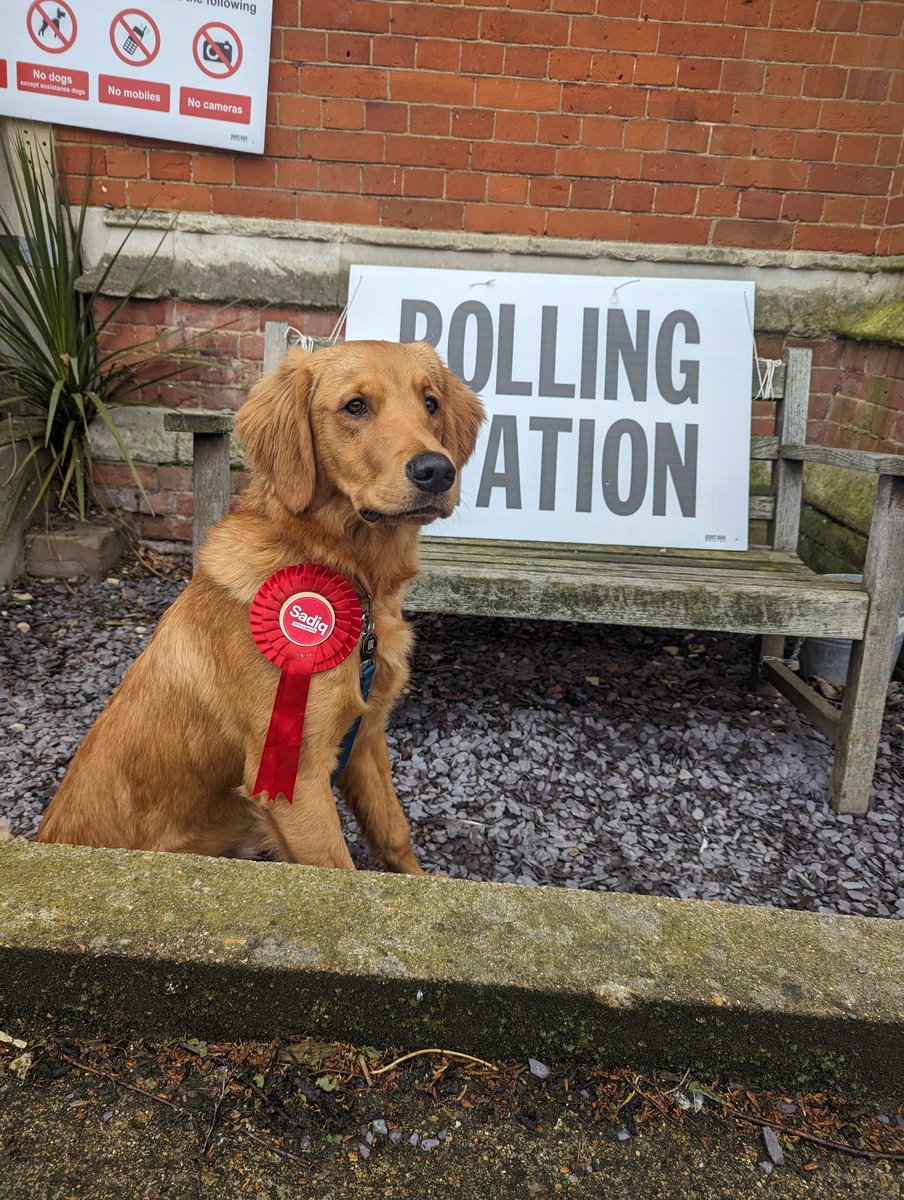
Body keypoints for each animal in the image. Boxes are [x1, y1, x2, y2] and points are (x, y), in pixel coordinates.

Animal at [38, 338, 482, 873]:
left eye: (431, 403)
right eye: (355, 406)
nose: (437, 471)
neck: (343, 570)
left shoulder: (366, 737)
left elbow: (394, 833)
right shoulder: (295, 779)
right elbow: (341, 870)